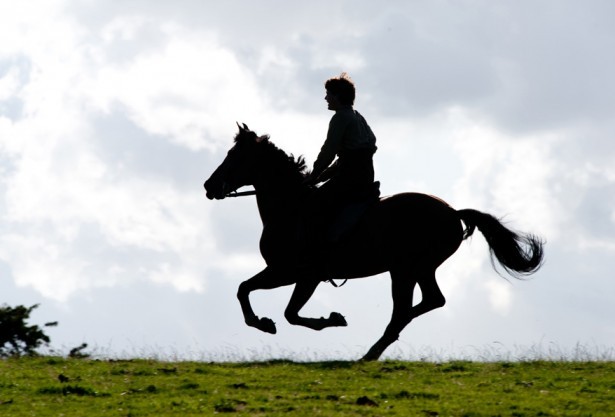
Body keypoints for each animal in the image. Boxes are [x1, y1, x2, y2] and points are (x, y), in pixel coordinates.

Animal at [203, 122, 544, 360]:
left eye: (234, 156)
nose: (208, 186)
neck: (291, 208)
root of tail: (452, 212)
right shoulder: (285, 273)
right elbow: (246, 290)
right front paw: (265, 322)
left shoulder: (298, 274)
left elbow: (284, 310)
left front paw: (326, 320)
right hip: (419, 269)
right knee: (429, 301)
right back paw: (378, 346)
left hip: (405, 270)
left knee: (405, 309)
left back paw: (372, 351)